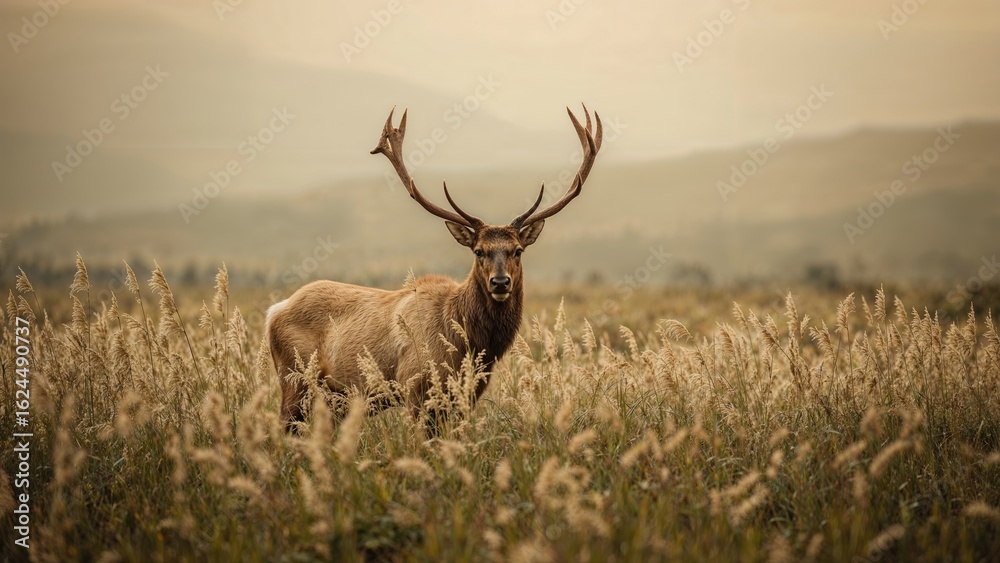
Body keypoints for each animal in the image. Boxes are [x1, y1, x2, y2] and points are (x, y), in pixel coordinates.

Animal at [266, 104, 603, 434]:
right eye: (479, 251)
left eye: (517, 251)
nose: (500, 282)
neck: (470, 340)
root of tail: (275, 310)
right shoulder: (414, 385)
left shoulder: (467, 393)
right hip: (294, 378)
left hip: (333, 397)